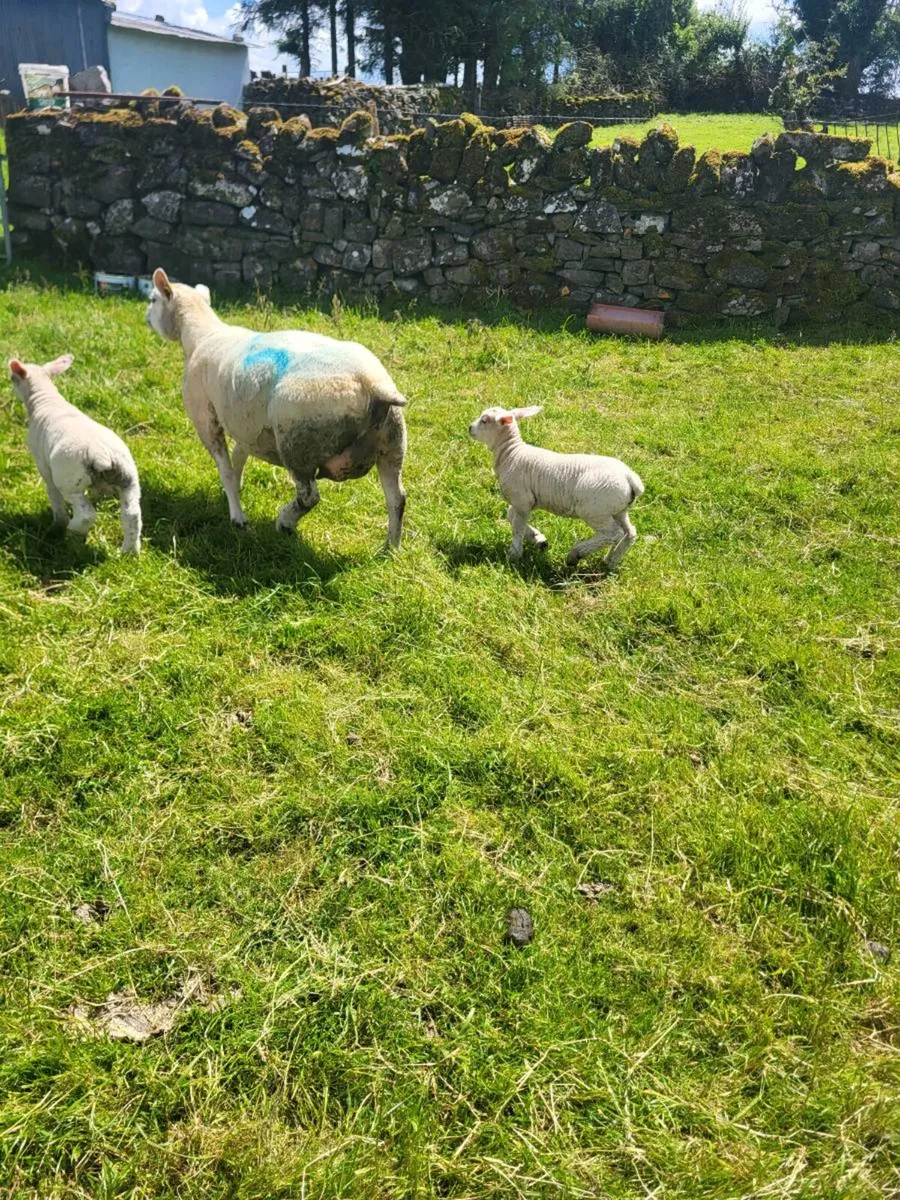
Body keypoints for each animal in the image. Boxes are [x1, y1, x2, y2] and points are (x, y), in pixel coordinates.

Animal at [8, 354, 142, 554]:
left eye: (12, 379)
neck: (46, 399)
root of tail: (102, 455)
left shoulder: (44, 467)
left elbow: (53, 496)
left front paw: (58, 523)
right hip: (129, 480)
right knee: (132, 515)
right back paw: (130, 551)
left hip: (71, 482)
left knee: (86, 514)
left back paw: (73, 532)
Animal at [145, 268, 407, 550]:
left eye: (152, 299)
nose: (146, 319)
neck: (202, 335)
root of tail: (374, 386)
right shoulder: (246, 425)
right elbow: (239, 456)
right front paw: (237, 487)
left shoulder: (205, 417)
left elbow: (226, 469)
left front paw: (237, 515)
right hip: (392, 443)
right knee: (397, 498)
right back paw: (390, 548)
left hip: (299, 445)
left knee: (309, 496)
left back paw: (285, 522)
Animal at [469, 405, 643, 569]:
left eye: (484, 420)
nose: (469, 428)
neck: (511, 453)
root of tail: (629, 477)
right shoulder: (526, 502)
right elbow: (510, 516)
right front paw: (538, 539)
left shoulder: (521, 500)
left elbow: (517, 526)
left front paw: (514, 554)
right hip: (618, 510)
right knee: (629, 533)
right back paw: (611, 560)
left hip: (595, 510)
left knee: (613, 534)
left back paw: (576, 554)